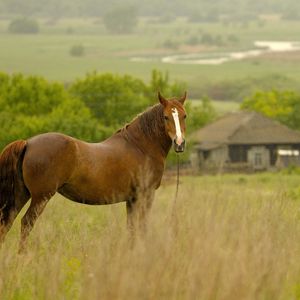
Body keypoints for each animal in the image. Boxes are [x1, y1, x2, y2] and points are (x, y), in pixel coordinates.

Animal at [0, 92, 186, 251]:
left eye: (184, 116)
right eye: (166, 117)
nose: (179, 143)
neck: (140, 146)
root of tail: (28, 143)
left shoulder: (132, 199)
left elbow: (132, 228)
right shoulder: (145, 195)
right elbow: (142, 226)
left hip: (21, 194)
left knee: (7, 221)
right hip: (40, 197)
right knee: (26, 223)